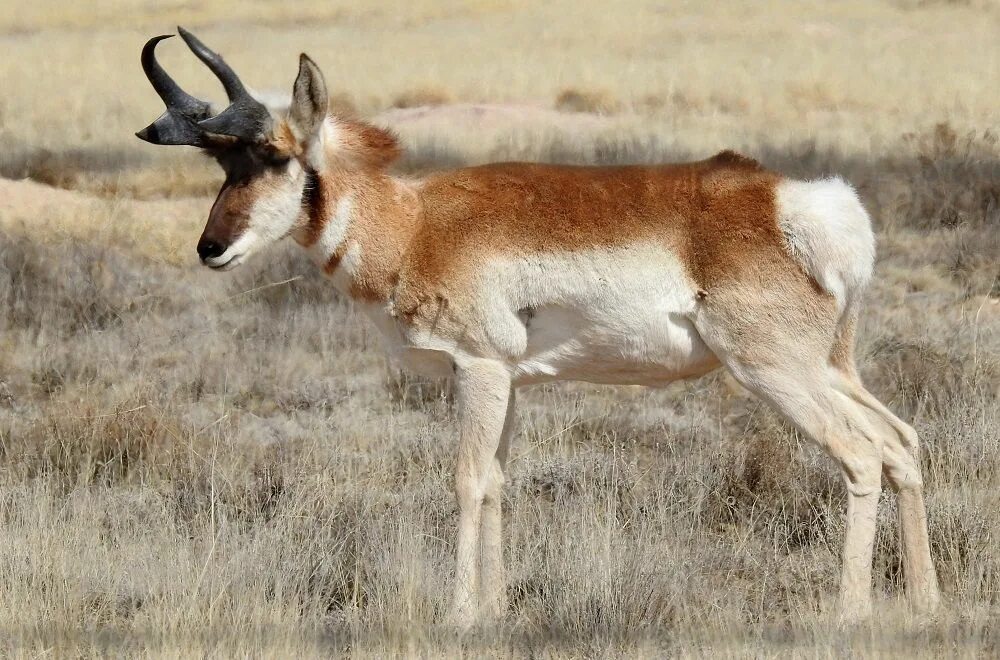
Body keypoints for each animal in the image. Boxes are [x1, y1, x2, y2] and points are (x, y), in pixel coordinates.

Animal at [139, 27, 936, 624]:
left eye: (274, 155)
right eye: (220, 159)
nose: (211, 249)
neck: (418, 224)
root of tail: (800, 203)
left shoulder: (479, 370)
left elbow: (466, 480)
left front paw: (460, 615)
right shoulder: (511, 383)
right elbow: (497, 481)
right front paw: (494, 610)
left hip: (776, 372)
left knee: (862, 454)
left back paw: (849, 613)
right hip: (832, 368)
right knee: (902, 442)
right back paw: (924, 603)